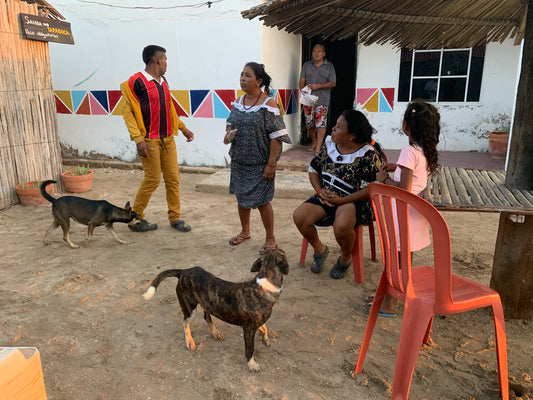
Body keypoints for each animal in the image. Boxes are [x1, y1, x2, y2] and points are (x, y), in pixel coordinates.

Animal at [142, 248, 286, 370]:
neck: (265, 284)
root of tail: (184, 271)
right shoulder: (248, 328)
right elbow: (250, 348)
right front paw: (252, 364)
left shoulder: (255, 322)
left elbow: (264, 327)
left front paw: (265, 339)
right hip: (190, 308)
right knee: (185, 322)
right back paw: (189, 341)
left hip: (207, 303)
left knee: (206, 317)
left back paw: (215, 333)